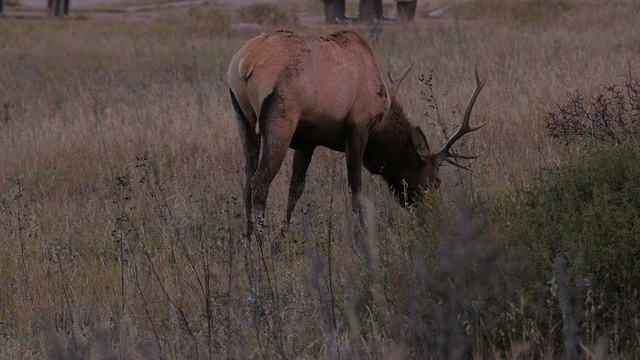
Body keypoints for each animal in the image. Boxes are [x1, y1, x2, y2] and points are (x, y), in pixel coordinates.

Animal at [228, 29, 482, 240]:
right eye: (436, 181)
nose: (430, 215)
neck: (381, 125)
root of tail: (245, 63)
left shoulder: (307, 140)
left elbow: (296, 188)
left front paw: (281, 240)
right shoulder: (358, 127)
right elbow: (356, 188)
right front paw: (362, 236)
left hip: (244, 121)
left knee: (247, 182)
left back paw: (248, 242)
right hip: (281, 119)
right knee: (260, 182)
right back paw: (261, 247)